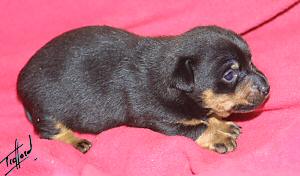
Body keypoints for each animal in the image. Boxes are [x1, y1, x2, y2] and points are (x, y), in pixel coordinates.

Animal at [16, 25, 270, 153]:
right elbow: (196, 127)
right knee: (49, 131)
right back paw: (76, 141)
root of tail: (20, 82)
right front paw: (218, 136)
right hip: (47, 110)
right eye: (230, 74)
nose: (267, 87)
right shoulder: (161, 119)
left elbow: (205, 116)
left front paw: (221, 123)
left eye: (251, 61)